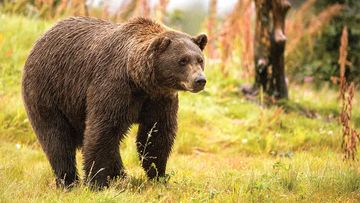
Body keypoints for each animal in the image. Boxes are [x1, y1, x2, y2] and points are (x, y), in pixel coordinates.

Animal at [21, 16, 208, 188]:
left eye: (200, 59)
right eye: (182, 60)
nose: (200, 80)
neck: (140, 80)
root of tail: (40, 39)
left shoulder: (159, 99)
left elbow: (156, 135)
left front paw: (159, 176)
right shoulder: (114, 87)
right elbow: (102, 130)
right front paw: (96, 182)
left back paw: (121, 176)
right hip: (49, 90)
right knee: (56, 138)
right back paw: (68, 181)